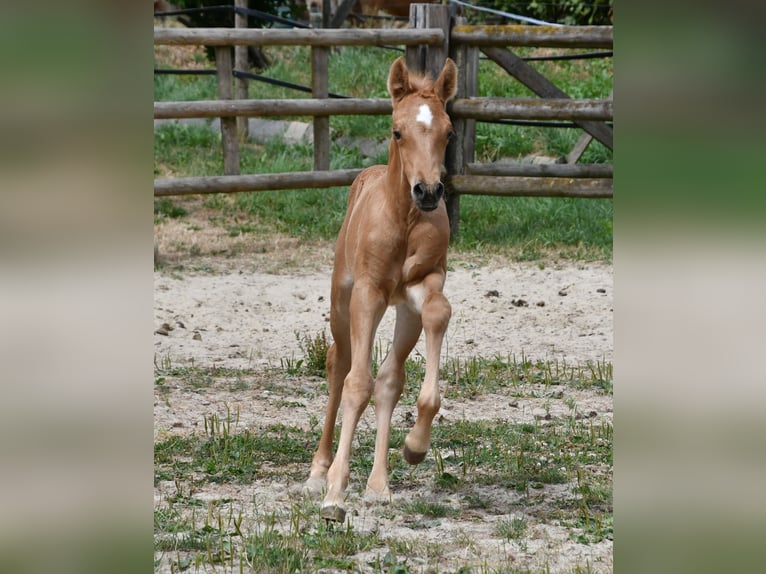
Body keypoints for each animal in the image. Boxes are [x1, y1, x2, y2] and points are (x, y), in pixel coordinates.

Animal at [303, 56, 458, 522]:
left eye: (448, 133)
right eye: (397, 131)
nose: (428, 191)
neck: (403, 217)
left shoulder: (424, 284)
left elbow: (438, 314)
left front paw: (415, 447)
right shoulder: (368, 294)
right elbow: (357, 383)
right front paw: (334, 494)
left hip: (403, 310)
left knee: (390, 379)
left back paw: (378, 484)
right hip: (342, 301)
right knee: (339, 365)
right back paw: (318, 472)